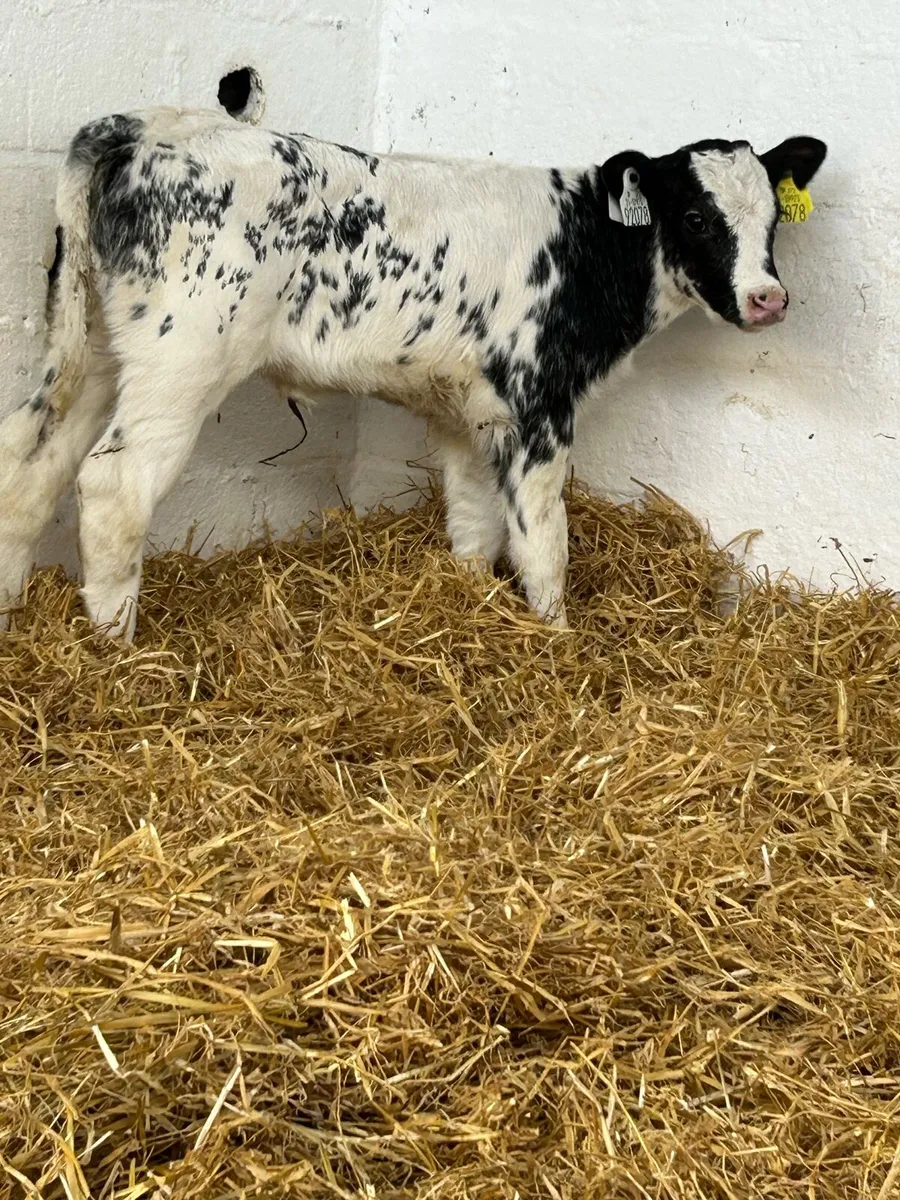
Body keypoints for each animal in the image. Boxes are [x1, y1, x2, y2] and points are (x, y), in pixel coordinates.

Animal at [0, 108, 826, 640]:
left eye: (773, 222)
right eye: (694, 216)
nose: (768, 299)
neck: (590, 248)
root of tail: (144, 126)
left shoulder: (470, 413)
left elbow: (474, 524)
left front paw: (467, 607)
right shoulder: (540, 404)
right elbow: (542, 541)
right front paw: (558, 641)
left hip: (95, 350)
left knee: (25, 466)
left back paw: (11, 614)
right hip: (183, 358)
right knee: (113, 486)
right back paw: (121, 653)